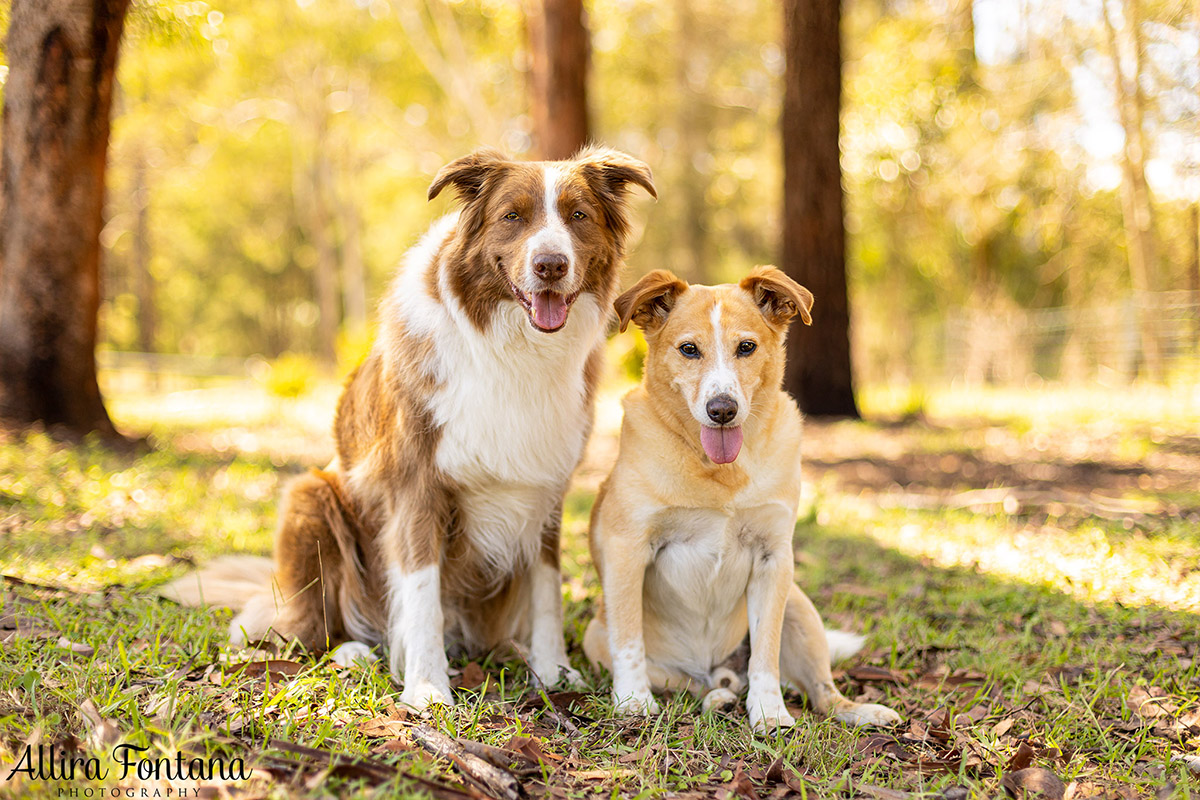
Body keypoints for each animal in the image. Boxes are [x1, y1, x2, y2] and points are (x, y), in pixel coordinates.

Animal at [175, 146, 657, 710]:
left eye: (578, 215)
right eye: (512, 217)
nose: (551, 265)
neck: (512, 347)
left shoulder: (546, 485)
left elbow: (547, 589)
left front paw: (554, 669)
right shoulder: (415, 485)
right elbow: (422, 592)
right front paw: (427, 686)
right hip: (311, 497)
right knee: (304, 627)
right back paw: (354, 650)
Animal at [580, 267, 902, 734]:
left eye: (746, 347)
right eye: (689, 349)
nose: (722, 410)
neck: (720, 472)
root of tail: (713, 664)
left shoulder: (773, 559)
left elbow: (765, 655)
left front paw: (768, 712)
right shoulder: (628, 550)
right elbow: (629, 643)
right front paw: (632, 701)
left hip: (799, 607)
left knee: (821, 693)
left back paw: (858, 711)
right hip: (598, 638)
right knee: (692, 684)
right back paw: (717, 695)